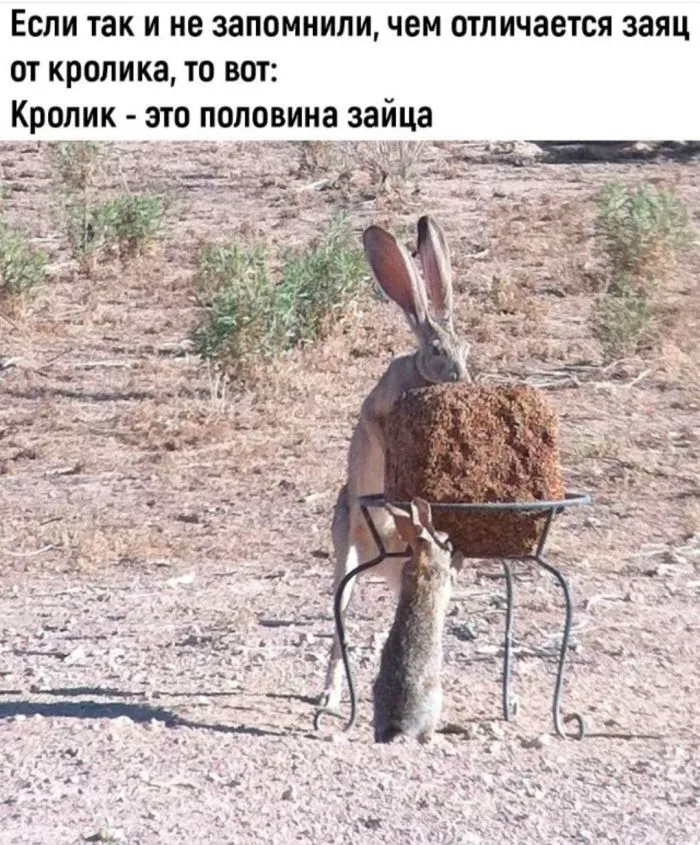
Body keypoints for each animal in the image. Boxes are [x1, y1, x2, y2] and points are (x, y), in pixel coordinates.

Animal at [318, 215, 471, 712]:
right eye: (438, 351)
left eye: (466, 348)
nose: (463, 378)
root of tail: (378, 563)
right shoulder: (376, 415)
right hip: (346, 553)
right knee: (340, 619)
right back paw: (329, 697)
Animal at [373, 498, 454, 743]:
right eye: (445, 541)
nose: (453, 547)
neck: (422, 559)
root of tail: (399, 726)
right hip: (437, 698)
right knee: (426, 734)